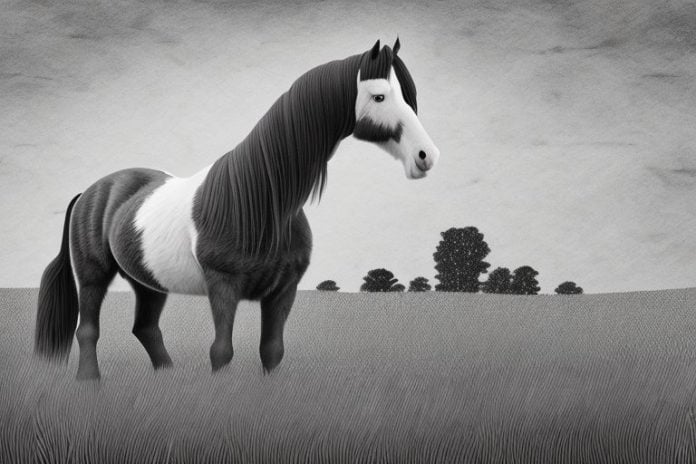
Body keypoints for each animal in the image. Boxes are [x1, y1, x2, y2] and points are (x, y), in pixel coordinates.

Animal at [34, 38, 440, 380]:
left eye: (411, 96)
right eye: (379, 96)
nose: (427, 156)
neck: (261, 202)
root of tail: (91, 191)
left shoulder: (283, 291)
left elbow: (272, 351)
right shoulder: (223, 286)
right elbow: (222, 352)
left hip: (148, 282)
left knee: (145, 328)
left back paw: (167, 376)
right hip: (93, 275)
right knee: (88, 329)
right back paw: (89, 381)